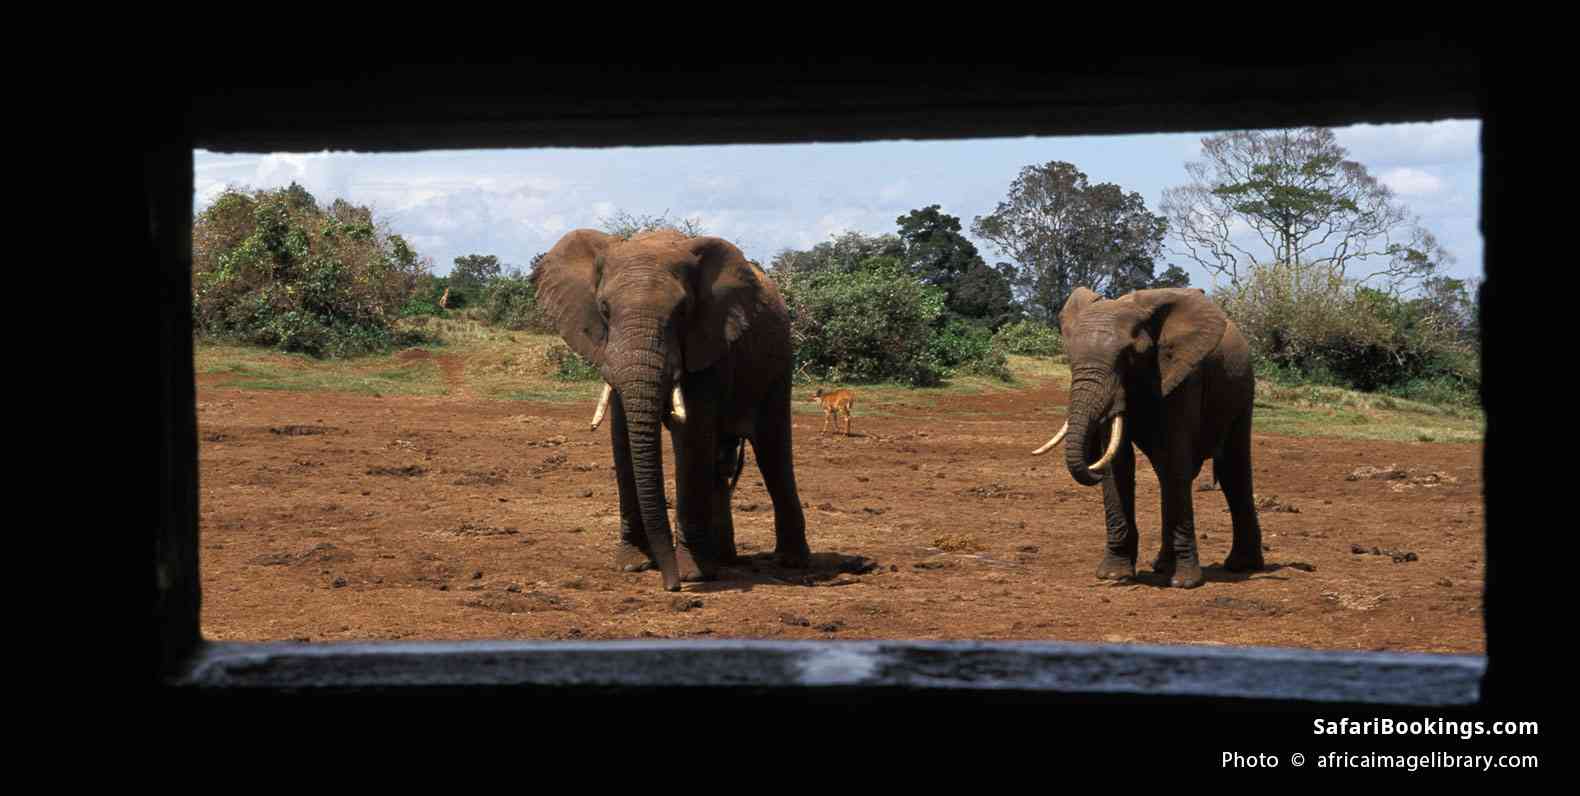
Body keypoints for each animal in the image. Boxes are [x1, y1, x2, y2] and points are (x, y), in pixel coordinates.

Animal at [532, 228, 811, 591]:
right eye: (604, 308)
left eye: (682, 311)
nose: (671, 585)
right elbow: (622, 435)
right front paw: (632, 565)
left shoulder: (708, 340)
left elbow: (691, 437)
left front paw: (692, 574)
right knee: (723, 460)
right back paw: (723, 559)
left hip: (778, 363)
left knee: (773, 452)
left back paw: (792, 563)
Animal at [1031, 286, 1264, 588]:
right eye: (1070, 358)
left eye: (1129, 355)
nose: (1091, 464)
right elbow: (1118, 462)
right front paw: (1114, 575)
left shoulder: (1184, 374)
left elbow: (1176, 456)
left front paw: (1186, 583)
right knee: (1168, 473)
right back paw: (1162, 566)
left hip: (1243, 388)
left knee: (1231, 470)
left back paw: (1241, 566)